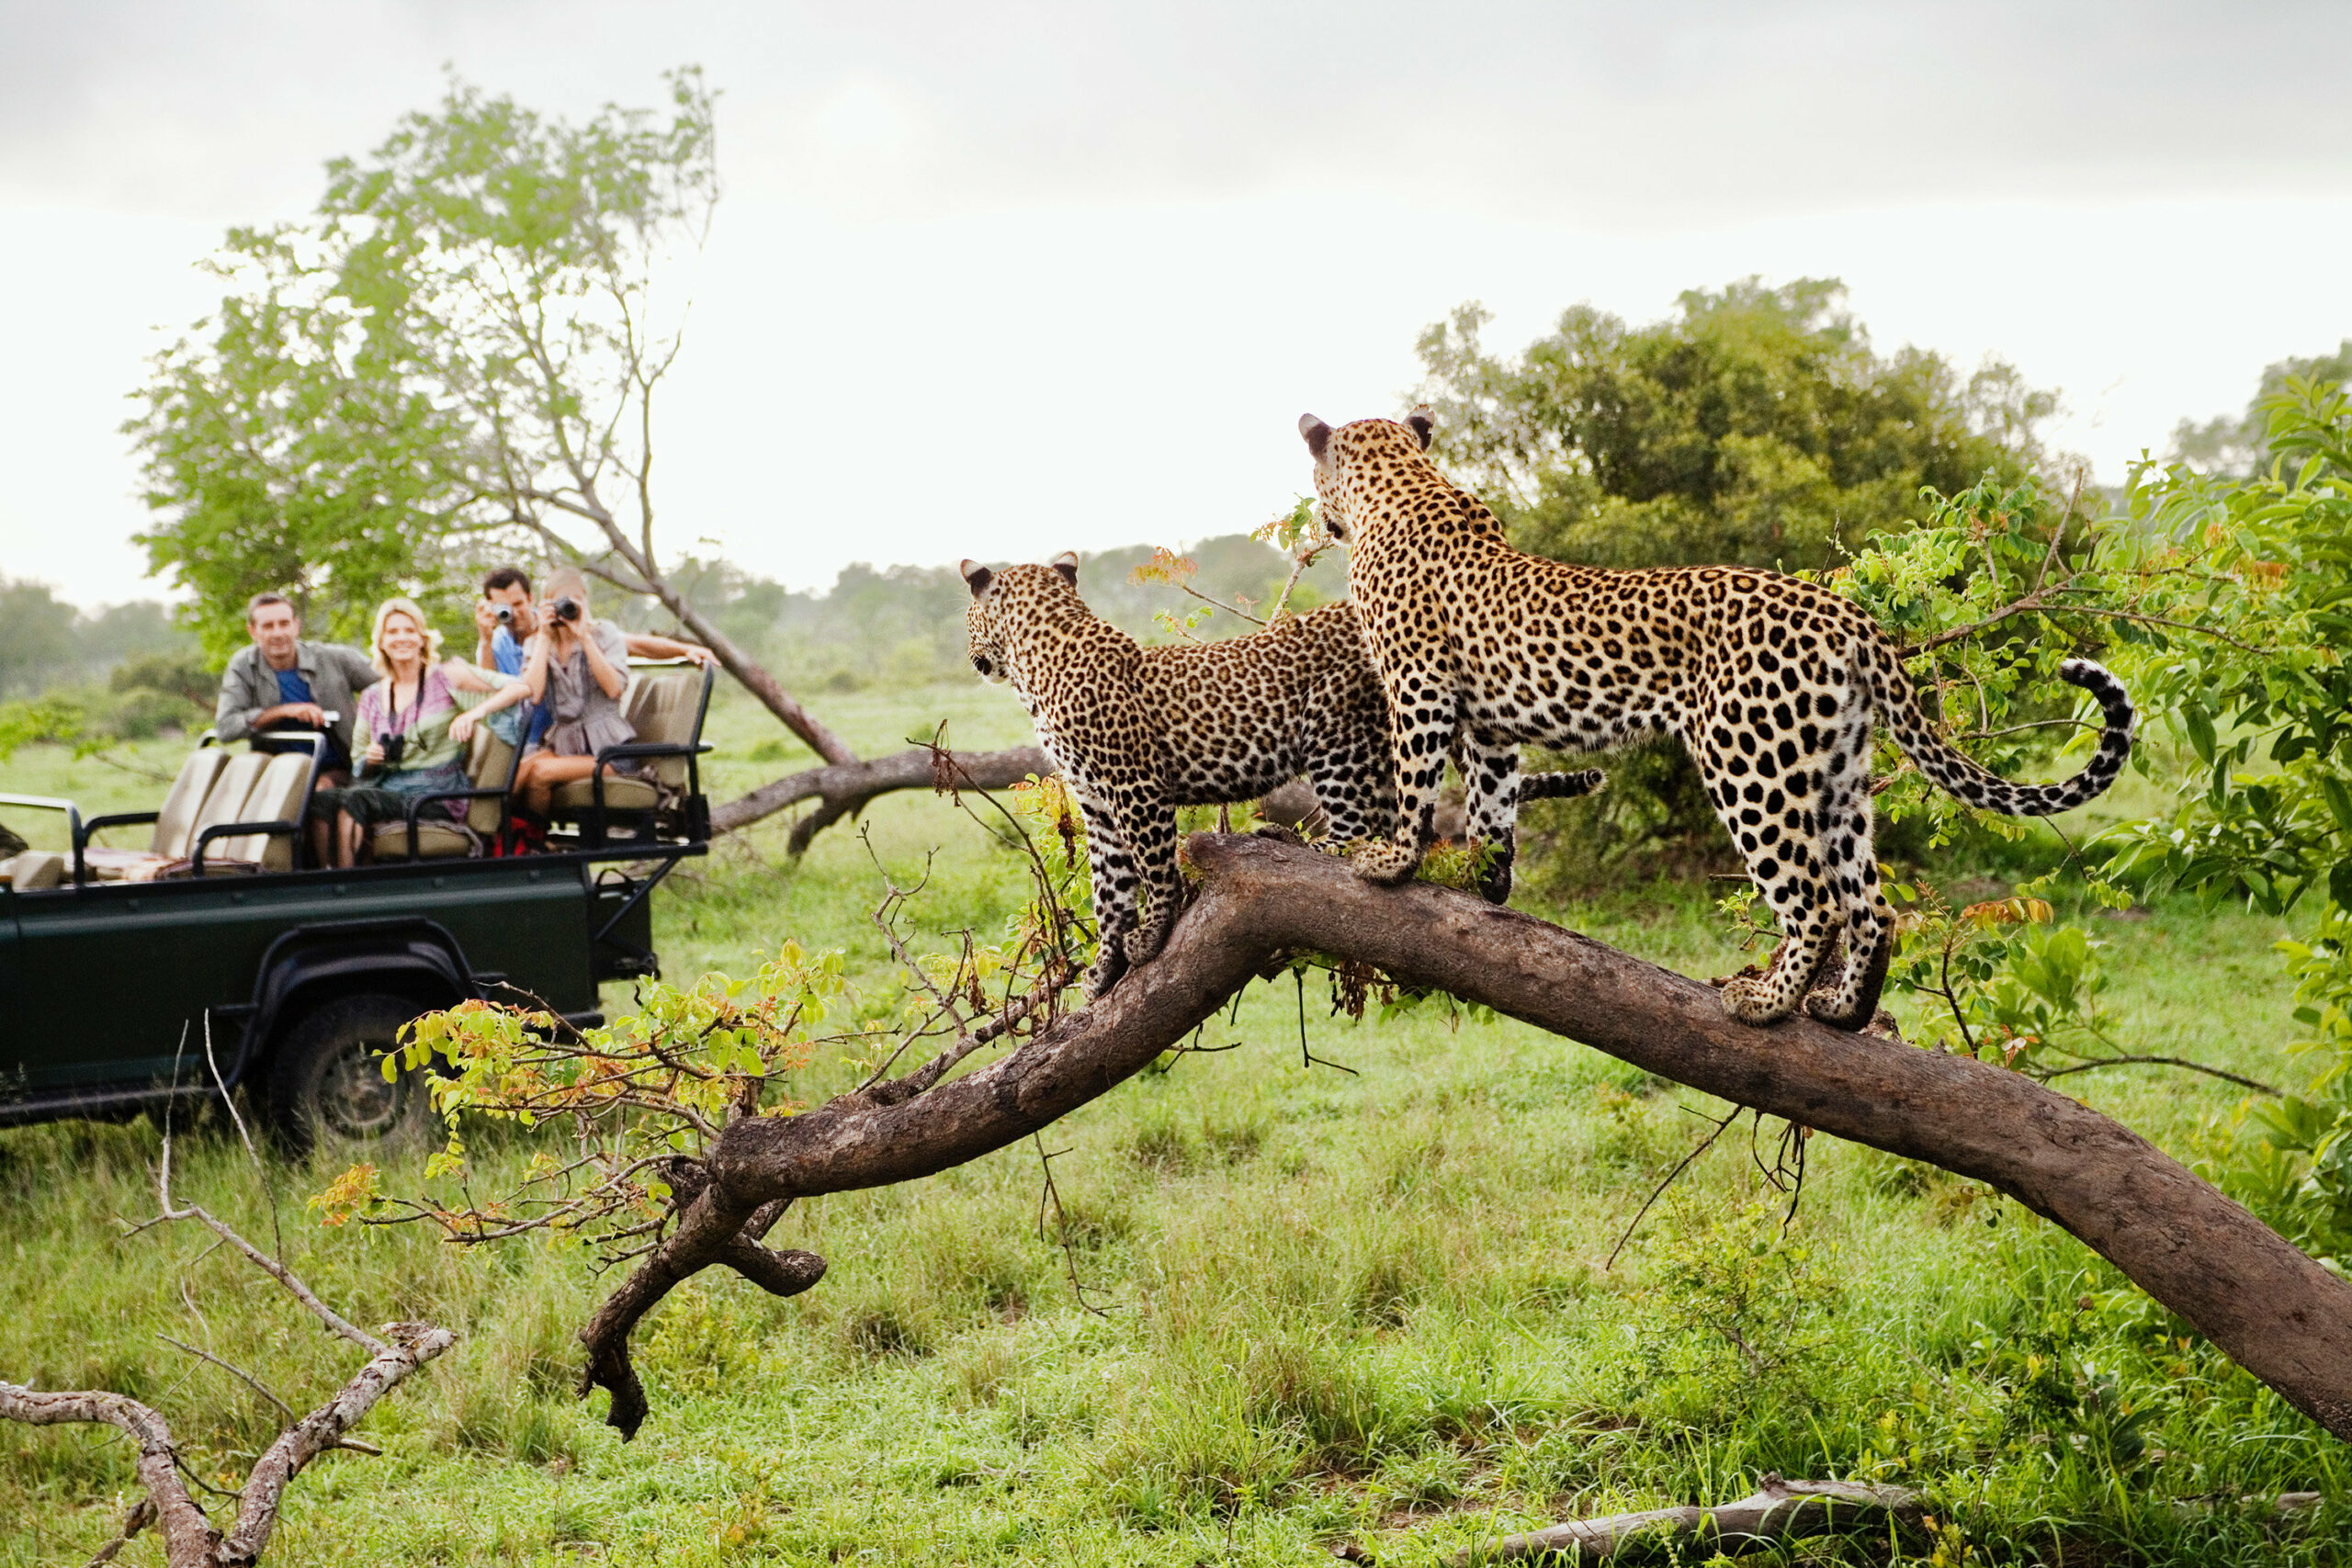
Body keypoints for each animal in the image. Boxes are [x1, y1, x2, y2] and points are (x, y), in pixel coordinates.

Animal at [955, 554, 1599, 991]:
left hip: (1337, 732)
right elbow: (1108, 889)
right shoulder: (1095, 801)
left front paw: (1154, 932)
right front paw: (1104, 965)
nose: (972, 659)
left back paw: (1298, 841)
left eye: (966, 619)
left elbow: (1155, 869)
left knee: (1359, 830)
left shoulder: (1135, 788)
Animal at [1298, 411, 2144, 1034]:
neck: (1404, 483)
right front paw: (1487, 879)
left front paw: (1391, 861)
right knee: (1872, 905)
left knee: (1816, 901)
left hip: (1750, 763)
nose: (1322, 520)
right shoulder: (1492, 723)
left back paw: (1765, 1003)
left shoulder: (1418, 686)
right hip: (1837, 774)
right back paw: (1842, 1010)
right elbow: (1492, 803)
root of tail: (1848, 616)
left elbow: (1416, 782)